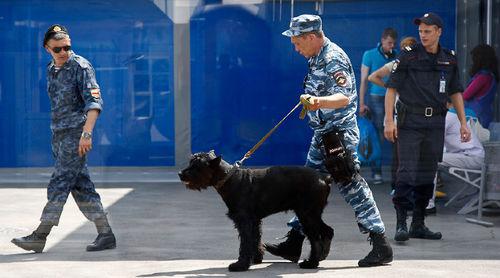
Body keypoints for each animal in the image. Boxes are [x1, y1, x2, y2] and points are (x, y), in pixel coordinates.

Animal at [178, 151, 334, 270]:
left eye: (197, 166)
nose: (180, 173)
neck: (229, 178)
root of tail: (324, 177)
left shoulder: (244, 219)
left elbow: (245, 242)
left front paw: (240, 265)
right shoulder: (254, 220)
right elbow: (255, 239)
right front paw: (256, 259)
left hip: (307, 214)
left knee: (315, 237)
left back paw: (311, 263)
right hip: (311, 214)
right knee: (328, 231)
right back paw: (322, 255)